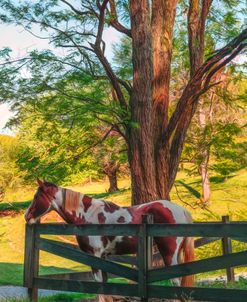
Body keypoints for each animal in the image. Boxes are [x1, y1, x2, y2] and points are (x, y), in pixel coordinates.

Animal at [25, 179, 195, 300]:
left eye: (36, 196)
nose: (27, 216)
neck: (88, 216)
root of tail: (181, 210)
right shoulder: (104, 258)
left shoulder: (94, 256)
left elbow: (100, 288)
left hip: (169, 253)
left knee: (176, 283)